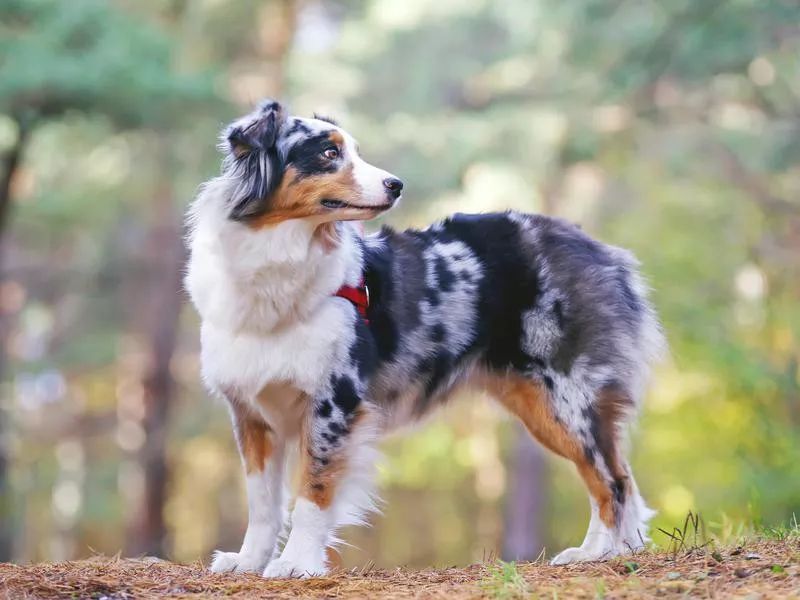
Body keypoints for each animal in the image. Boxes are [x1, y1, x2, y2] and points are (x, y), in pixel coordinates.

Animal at [184, 101, 664, 580]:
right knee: (615, 474)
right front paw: (249, 560)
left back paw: (598, 553)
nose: (396, 185)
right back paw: (612, 550)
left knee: (612, 479)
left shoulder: (334, 402)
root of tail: (599, 249)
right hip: (538, 403)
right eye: (328, 153)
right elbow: (263, 502)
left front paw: (296, 563)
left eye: (354, 151)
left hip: (567, 396)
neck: (278, 258)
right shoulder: (251, 412)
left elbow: (313, 491)